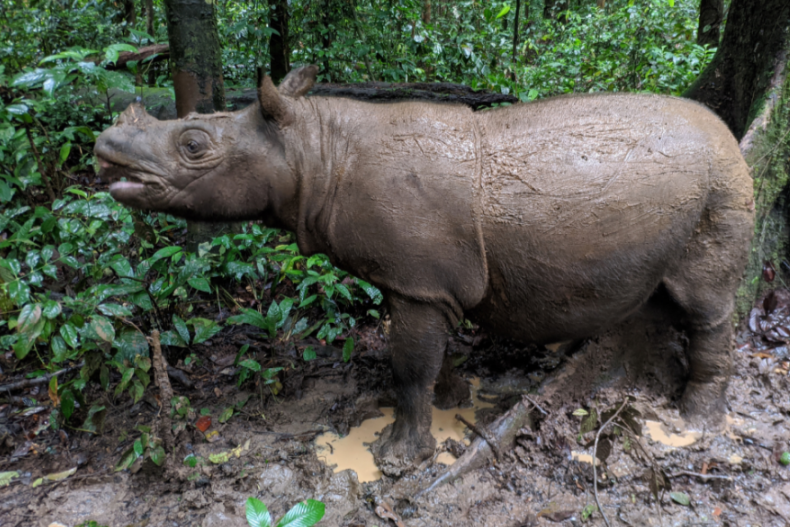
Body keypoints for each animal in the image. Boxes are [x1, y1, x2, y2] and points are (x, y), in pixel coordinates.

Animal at [97, 65, 756, 474]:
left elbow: (408, 366)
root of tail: (727, 133)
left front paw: (395, 458)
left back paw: (695, 422)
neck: (315, 149)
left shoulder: (416, 283)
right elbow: (432, 356)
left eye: (194, 145)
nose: (104, 148)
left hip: (722, 183)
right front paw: (453, 395)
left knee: (706, 303)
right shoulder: (429, 281)